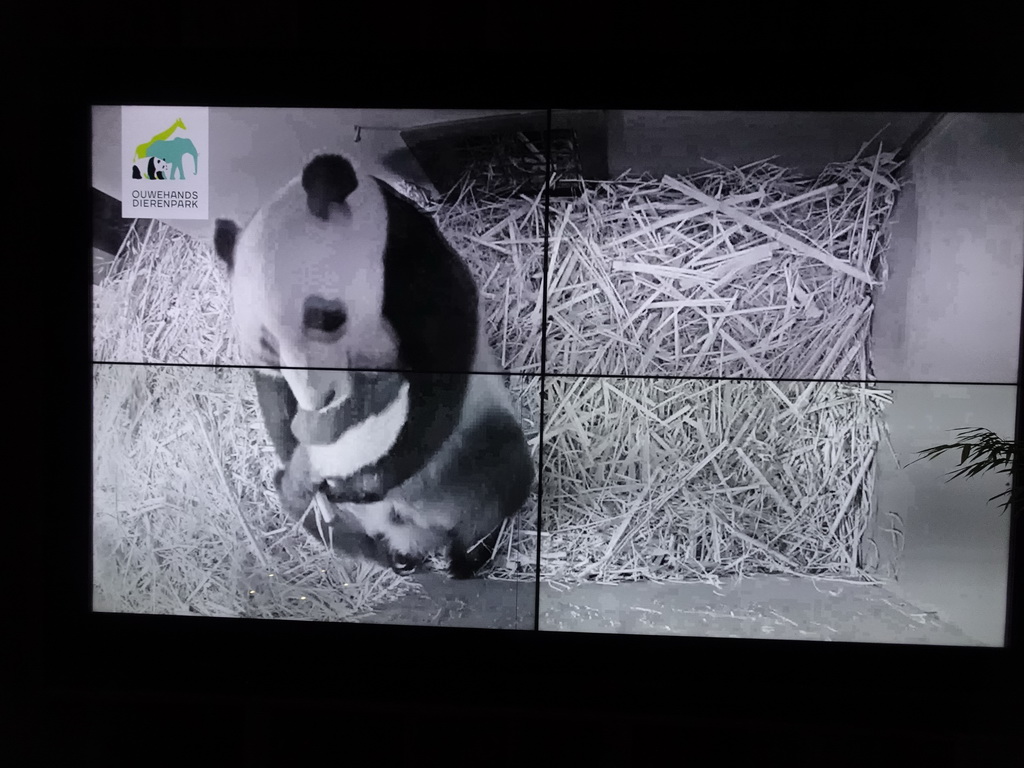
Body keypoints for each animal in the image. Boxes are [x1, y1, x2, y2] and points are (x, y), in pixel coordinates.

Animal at [214, 153, 536, 581]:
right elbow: (272, 393)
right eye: (267, 345)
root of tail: (418, 527)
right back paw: (386, 552)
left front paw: (369, 478)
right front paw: (306, 457)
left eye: (326, 317)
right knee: (308, 510)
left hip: (478, 444)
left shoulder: (409, 260)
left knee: (503, 475)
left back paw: (466, 557)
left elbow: (442, 359)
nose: (319, 401)